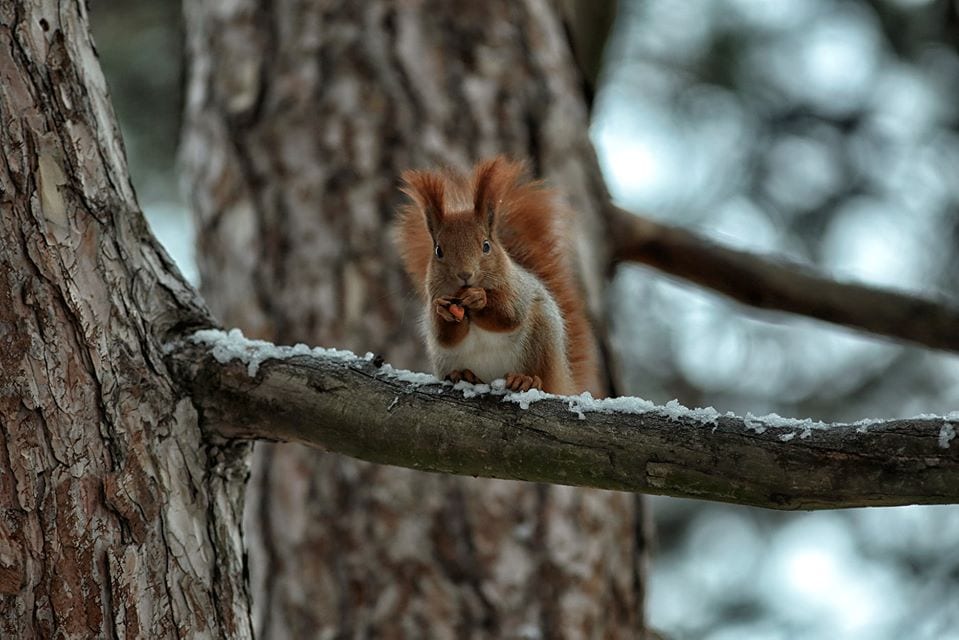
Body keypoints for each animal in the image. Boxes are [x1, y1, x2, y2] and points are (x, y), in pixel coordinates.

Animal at [394, 156, 596, 396]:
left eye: (486, 246)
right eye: (438, 251)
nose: (465, 274)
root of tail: (562, 380)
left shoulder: (518, 290)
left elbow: (508, 315)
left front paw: (480, 299)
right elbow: (445, 336)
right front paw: (443, 310)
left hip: (540, 340)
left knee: (540, 377)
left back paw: (525, 379)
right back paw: (465, 375)